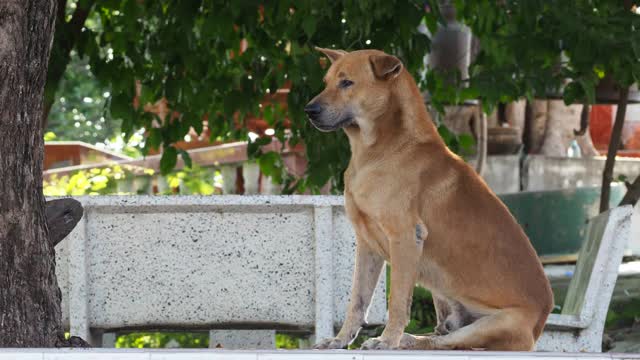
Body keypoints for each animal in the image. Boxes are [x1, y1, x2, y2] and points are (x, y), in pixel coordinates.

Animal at [308, 46, 552, 350]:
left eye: (347, 83)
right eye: (326, 82)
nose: (309, 111)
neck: (381, 150)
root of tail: (539, 327)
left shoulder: (404, 238)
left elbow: (398, 302)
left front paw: (387, 340)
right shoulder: (366, 244)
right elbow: (357, 301)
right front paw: (340, 340)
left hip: (497, 323)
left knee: (445, 343)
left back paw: (404, 340)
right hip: (445, 303)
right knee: (440, 334)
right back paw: (410, 339)